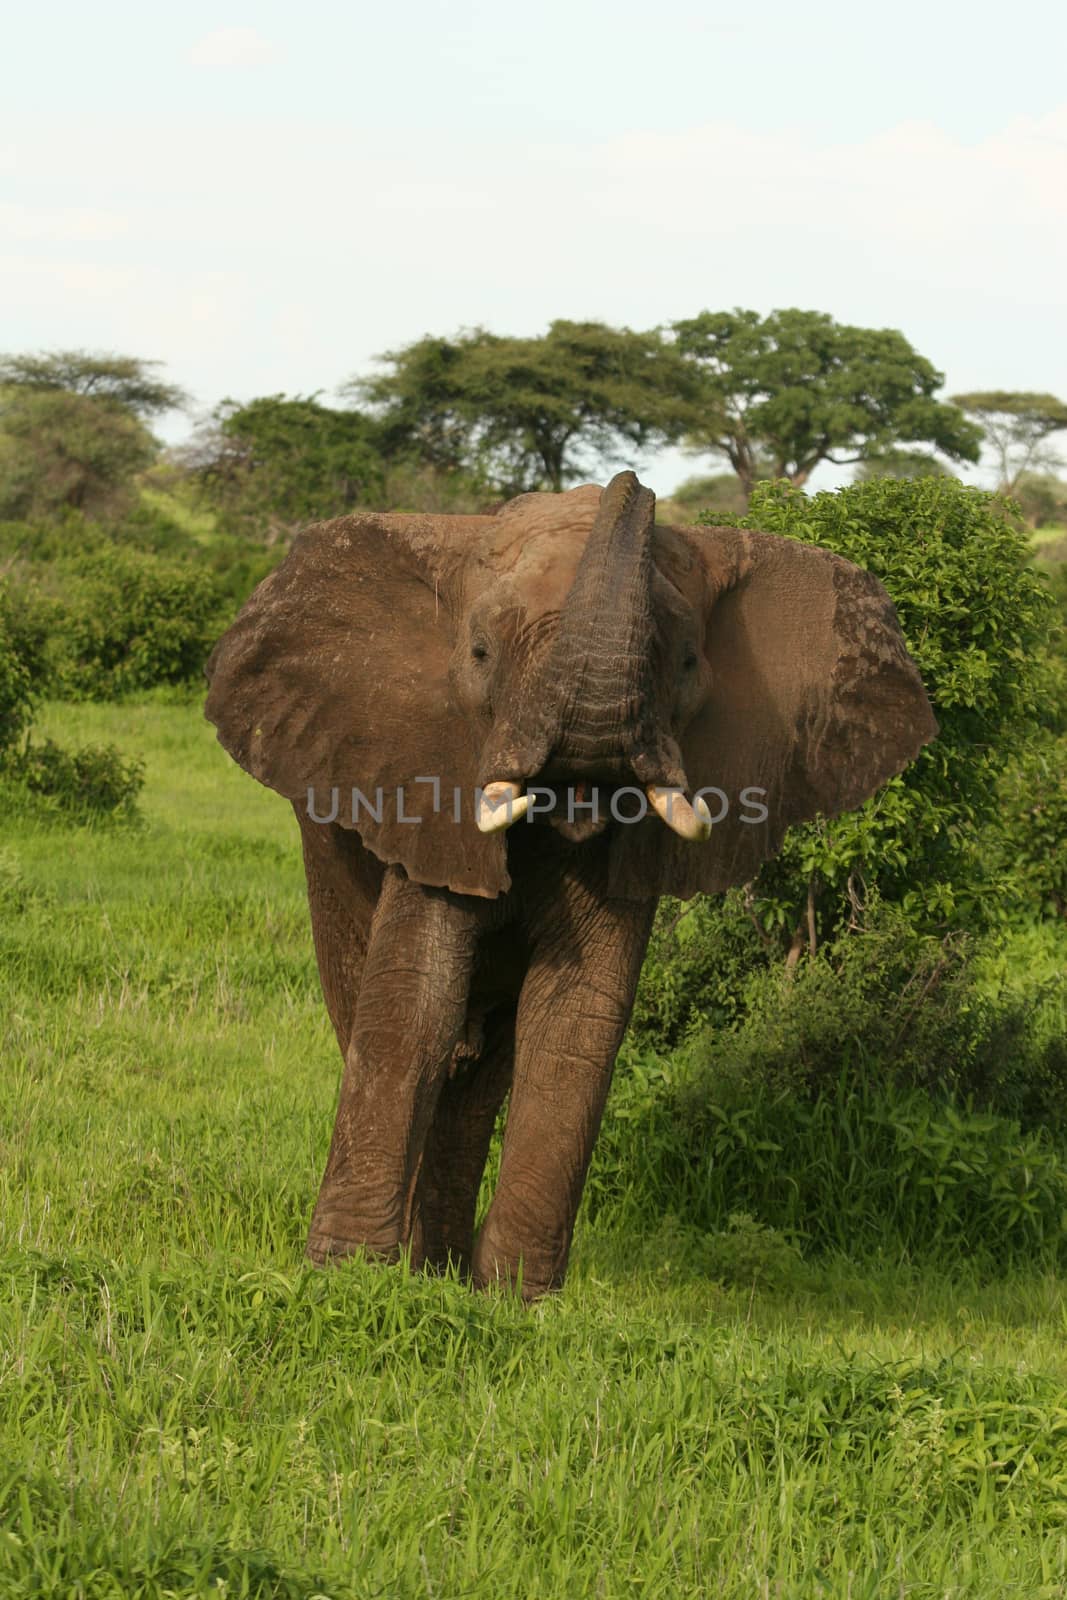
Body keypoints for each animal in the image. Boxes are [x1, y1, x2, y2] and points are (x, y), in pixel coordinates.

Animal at [204, 467, 940, 1292]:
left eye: (687, 663)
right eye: (480, 652)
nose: (632, 480)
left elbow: (574, 1016)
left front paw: (511, 1299)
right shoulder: (428, 784)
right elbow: (413, 1005)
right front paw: (348, 1283)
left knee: (478, 1076)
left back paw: (441, 1274)